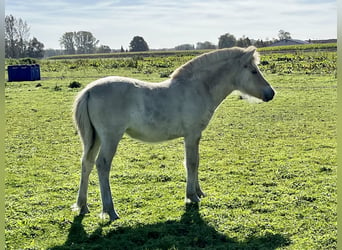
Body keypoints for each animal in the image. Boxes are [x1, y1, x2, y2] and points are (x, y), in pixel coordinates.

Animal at [72, 45, 276, 221]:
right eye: (253, 71)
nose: (271, 93)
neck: (198, 88)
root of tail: (89, 91)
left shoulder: (195, 136)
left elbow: (195, 162)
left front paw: (199, 192)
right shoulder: (192, 135)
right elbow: (192, 163)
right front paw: (192, 196)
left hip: (95, 138)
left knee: (87, 163)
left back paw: (82, 206)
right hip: (110, 138)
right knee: (102, 165)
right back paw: (110, 210)